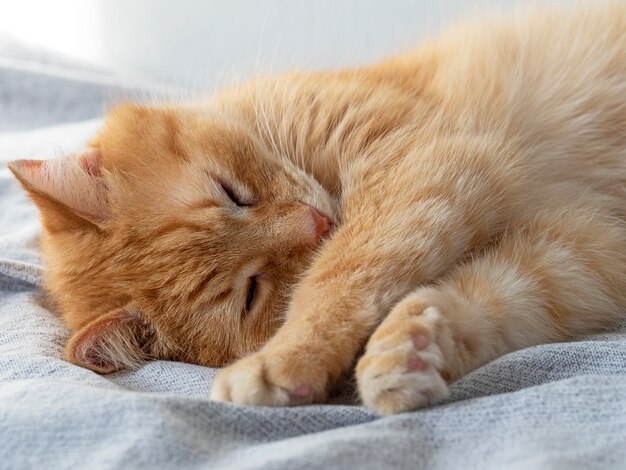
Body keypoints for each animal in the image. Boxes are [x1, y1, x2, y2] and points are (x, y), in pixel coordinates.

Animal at [9, 3, 624, 414]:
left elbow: (340, 275)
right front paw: (412, 351)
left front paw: (287, 356)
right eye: (251, 292)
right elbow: (495, 298)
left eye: (232, 192)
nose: (321, 224)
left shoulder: (425, 160)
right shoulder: (579, 252)